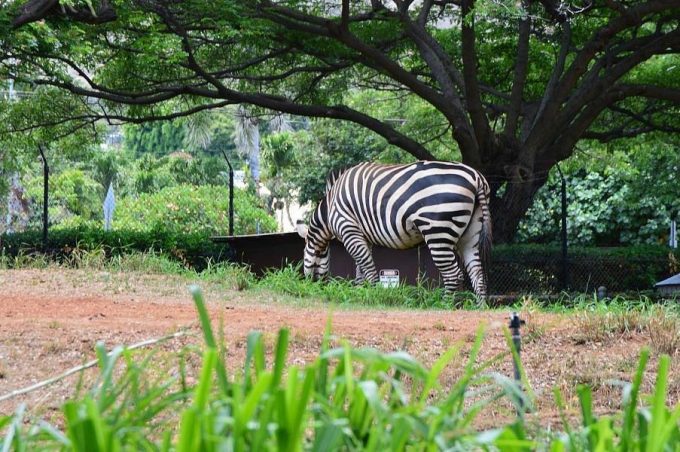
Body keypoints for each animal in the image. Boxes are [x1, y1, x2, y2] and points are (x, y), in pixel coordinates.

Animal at [294, 161, 492, 298]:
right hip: (470, 233)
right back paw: (479, 307)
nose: (313, 287)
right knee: (477, 273)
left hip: (438, 231)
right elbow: (360, 268)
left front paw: (374, 294)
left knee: (453, 274)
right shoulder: (361, 235)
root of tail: (476, 177)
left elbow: (367, 266)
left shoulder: (348, 229)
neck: (330, 208)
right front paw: (360, 292)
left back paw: (445, 304)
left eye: (316, 253)